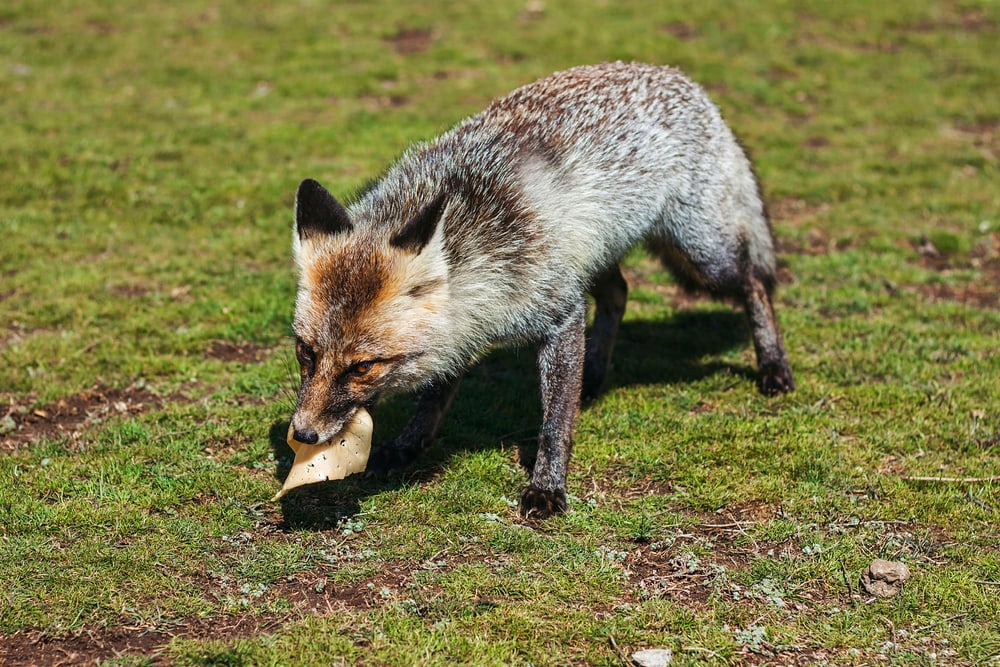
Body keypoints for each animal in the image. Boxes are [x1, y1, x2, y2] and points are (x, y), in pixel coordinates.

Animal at [288, 62, 794, 519]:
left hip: (700, 255)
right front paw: (408, 445)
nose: (304, 435)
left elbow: (553, 424)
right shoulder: (463, 323)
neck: (480, 241)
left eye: (363, 367)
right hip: (595, 258)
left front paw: (548, 487)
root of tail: (679, 76)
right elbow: (435, 396)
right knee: (619, 293)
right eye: (305, 353)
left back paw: (773, 366)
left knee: (753, 281)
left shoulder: (560, 313)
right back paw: (594, 376)